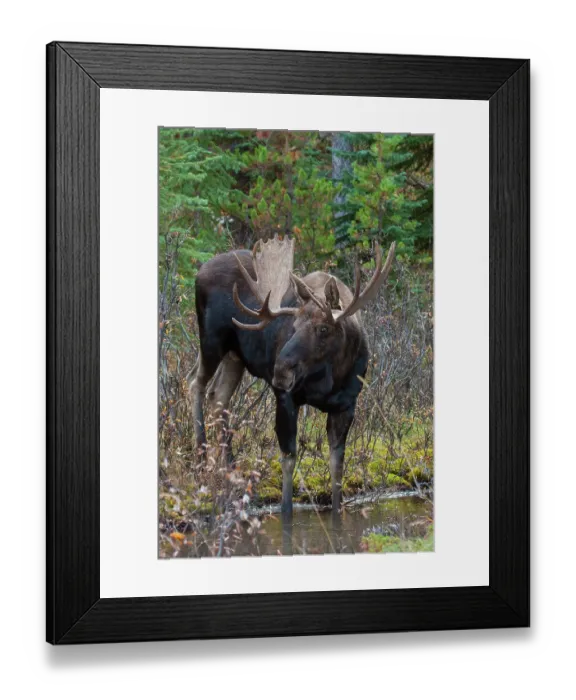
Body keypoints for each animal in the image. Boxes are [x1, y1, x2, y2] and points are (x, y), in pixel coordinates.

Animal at [190, 235, 396, 514]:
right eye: (294, 326)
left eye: (323, 328)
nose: (280, 371)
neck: (331, 380)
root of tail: (200, 270)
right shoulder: (286, 397)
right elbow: (288, 459)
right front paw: (286, 512)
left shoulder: (347, 405)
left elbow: (337, 468)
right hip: (211, 340)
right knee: (196, 383)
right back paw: (202, 459)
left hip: (236, 356)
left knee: (218, 395)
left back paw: (230, 469)